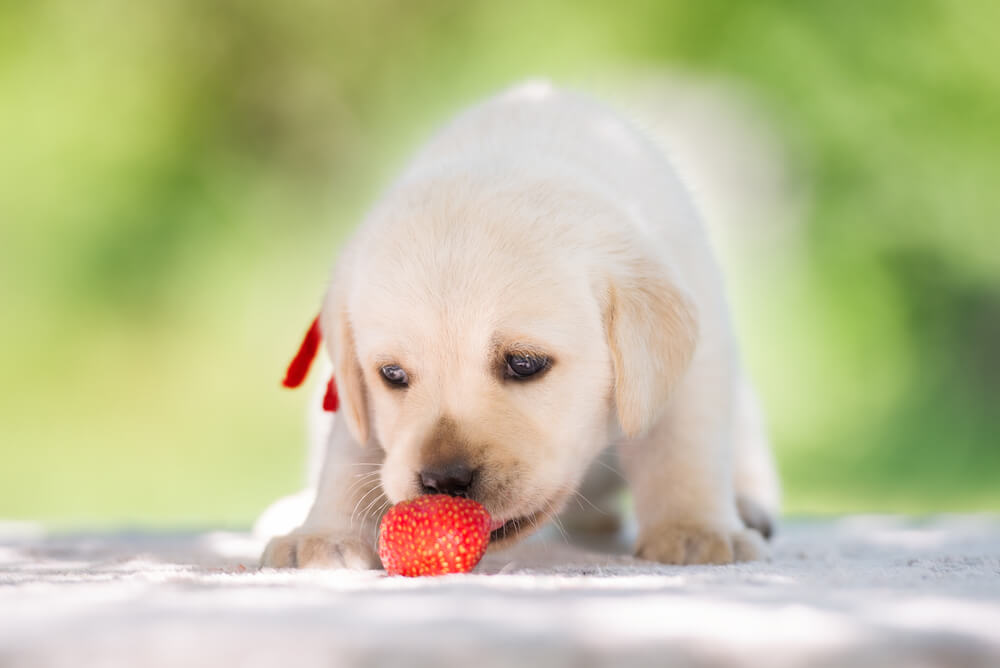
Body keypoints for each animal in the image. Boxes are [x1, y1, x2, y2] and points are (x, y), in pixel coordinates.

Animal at [262, 79, 776, 568]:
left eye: (525, 364)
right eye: (392, 375)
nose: (444, 480)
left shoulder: (698, 356)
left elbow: (682, 446)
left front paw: (694, 530)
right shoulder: (353, 396)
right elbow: (348, 456)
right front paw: (326, 536)